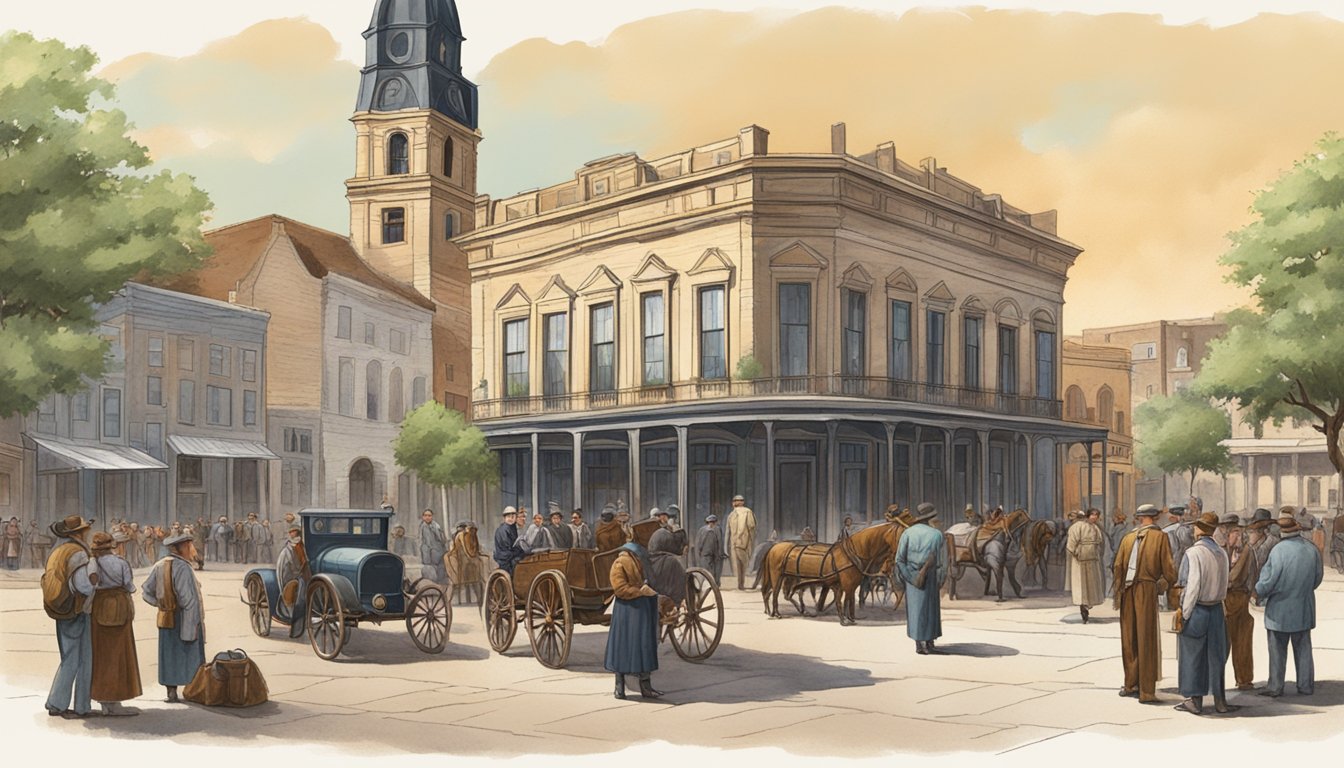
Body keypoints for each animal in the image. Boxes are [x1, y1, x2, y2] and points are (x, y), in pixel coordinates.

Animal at [763, 516, 908, 624]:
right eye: (900, 534)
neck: (853, 552)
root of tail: (774, 548)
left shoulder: (850, 585)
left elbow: (848, 601)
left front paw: (850, 619)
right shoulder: (845, 584)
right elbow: (843, 601)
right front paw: (844, 620)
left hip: (787, 578)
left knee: (782, 594)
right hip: (778, 577)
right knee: (775, 593)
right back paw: (777, 613)